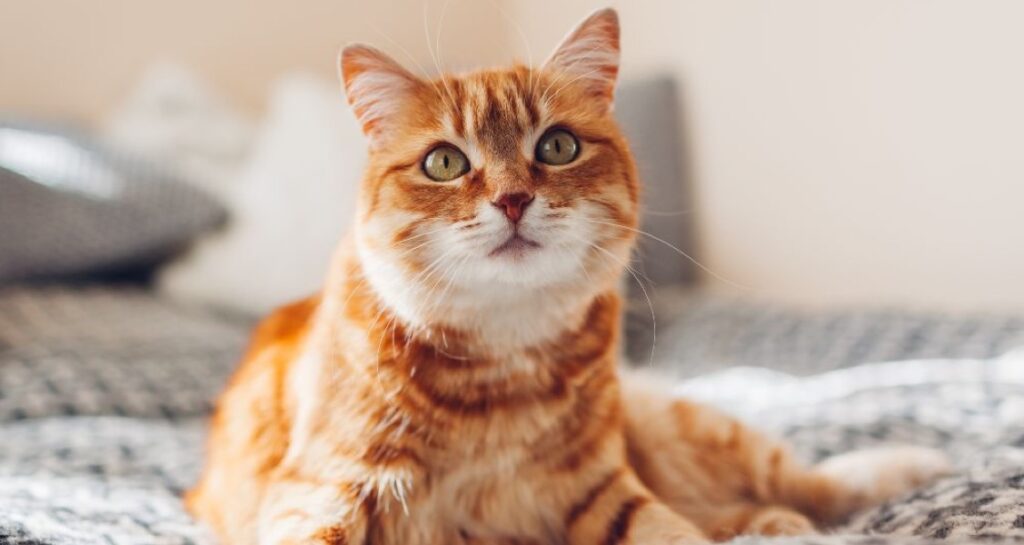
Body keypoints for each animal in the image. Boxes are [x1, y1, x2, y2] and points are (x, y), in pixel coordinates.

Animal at [186, 8, 950, 545]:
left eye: (557, 146)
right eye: (444, 162)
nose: (513, 199)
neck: (499, 370)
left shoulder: (602, 490)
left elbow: (671, 529)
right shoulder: (323, 486)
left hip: (682, 425)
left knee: (801, 479)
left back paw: (904, 468)